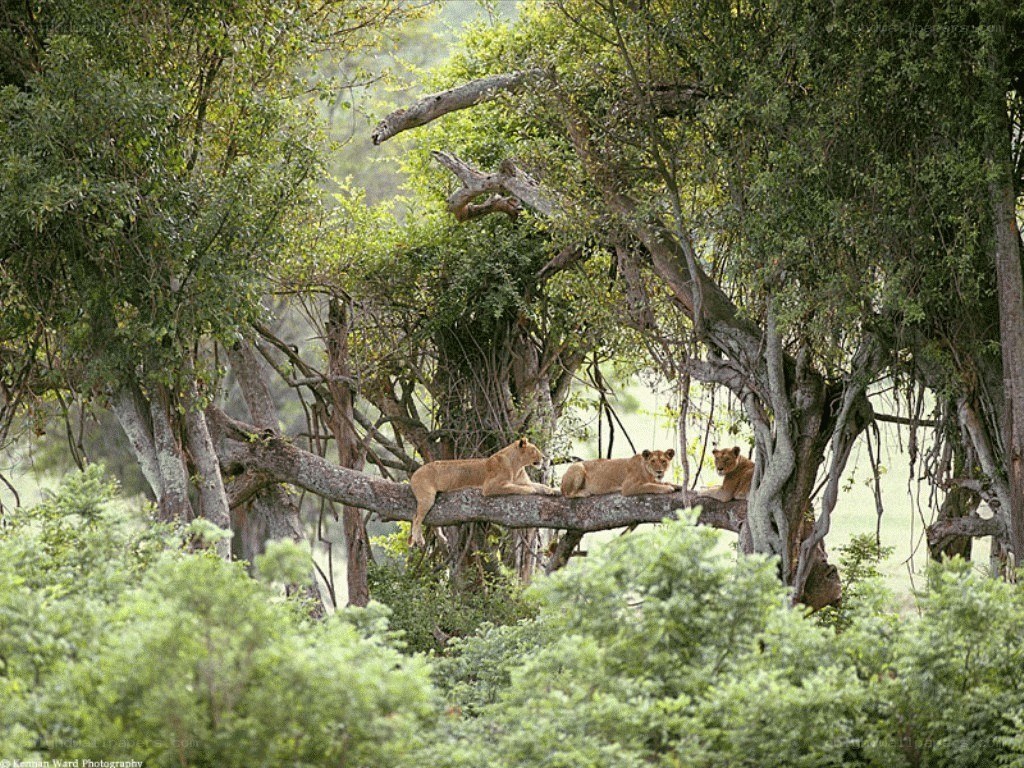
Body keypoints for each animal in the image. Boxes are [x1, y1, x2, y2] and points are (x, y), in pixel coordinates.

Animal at [408, 438, 558, 547]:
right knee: (416, 518)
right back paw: (419, 540)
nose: (544, 457)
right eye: (534, 450)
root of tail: (415, 473)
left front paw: (554, 491)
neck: (517, 466)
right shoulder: (490, 487)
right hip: (427, 497)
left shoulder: (524, 481)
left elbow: (541, 485)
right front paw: (530, 490)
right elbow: (515, 487)